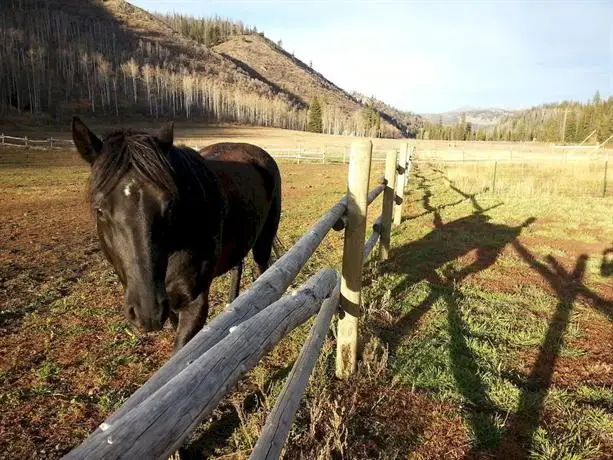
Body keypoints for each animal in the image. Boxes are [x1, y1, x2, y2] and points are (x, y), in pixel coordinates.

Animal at [73, 118, 280, 352]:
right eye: (99, 209)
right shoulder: (169, 303)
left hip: (264, 242)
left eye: (170, 205)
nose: (148, 311)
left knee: (264, 269)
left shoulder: (194, 303)